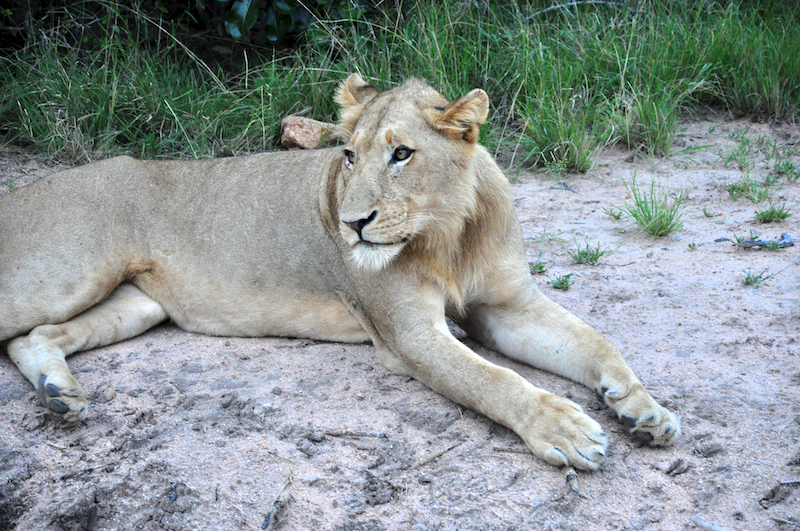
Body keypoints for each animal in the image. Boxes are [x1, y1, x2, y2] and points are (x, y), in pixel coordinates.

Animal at [0, 74, 679, 470]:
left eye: (402, 153)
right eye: (348, 155)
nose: (352, 224)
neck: (447, 233)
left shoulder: (505, 306)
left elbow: (596, 342)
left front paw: (644, 411)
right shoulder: (409, 336)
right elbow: (492, 381)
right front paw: (564, 430)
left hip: (135, 303)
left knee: (32, 339)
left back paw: (59, 395)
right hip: (64, 275)